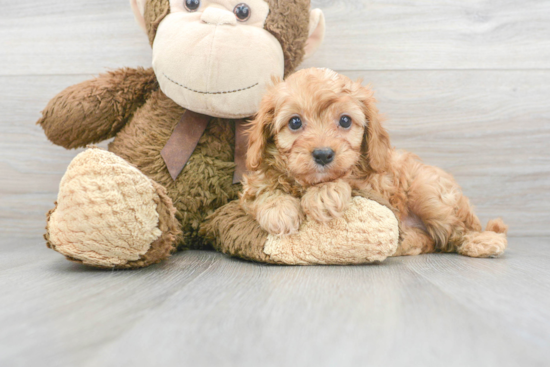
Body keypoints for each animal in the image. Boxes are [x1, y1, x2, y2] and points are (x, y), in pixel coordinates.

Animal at [244, 69, 512, 258]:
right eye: (295, 122)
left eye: (345, 121)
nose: (322, 154)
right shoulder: (252, 184)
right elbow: (263, 190)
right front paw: (279, 210)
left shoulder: (374, 183)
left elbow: (346, 179)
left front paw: (323, 194)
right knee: (431, 240)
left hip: (428, 193)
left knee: (455, 232)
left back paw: (483, 241)